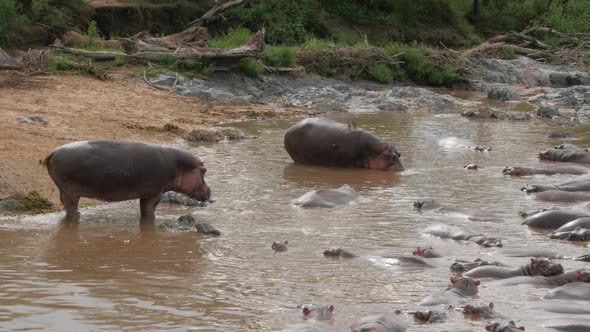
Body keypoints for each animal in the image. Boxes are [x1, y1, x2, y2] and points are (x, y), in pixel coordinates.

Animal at [44, 140, 212, 220]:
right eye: (204, 171)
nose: (210, 191)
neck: (179, 166)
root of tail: (53, 152)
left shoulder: (146, 194)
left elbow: (144, 211)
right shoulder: (154, 194)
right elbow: (149, 211)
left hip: (65, 191)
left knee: (66, 206)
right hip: (71, 191)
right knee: (71, 207)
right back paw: (77, 217)